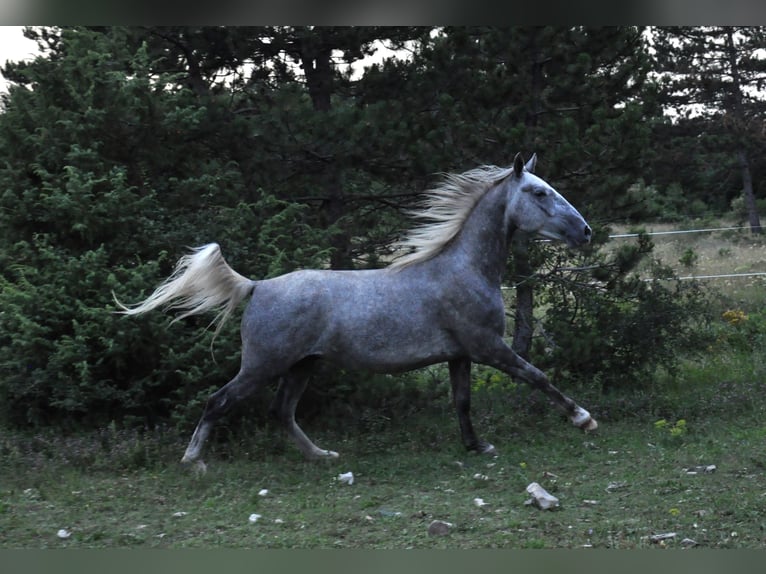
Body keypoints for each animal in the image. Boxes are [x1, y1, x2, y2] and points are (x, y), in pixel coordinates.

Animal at [117, 154, 600, 472]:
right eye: (538, 192)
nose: (586, 232)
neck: (464, 269)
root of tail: (256, 286)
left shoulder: (461, 355)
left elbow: (462, 402)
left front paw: (476, 447)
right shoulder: (488, 348)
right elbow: (537, 376)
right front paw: (584, 419)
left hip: (302, 365)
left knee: (281, 411)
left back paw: (322, 456)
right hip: (263, 365)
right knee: (219, 402)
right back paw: (194, 462)